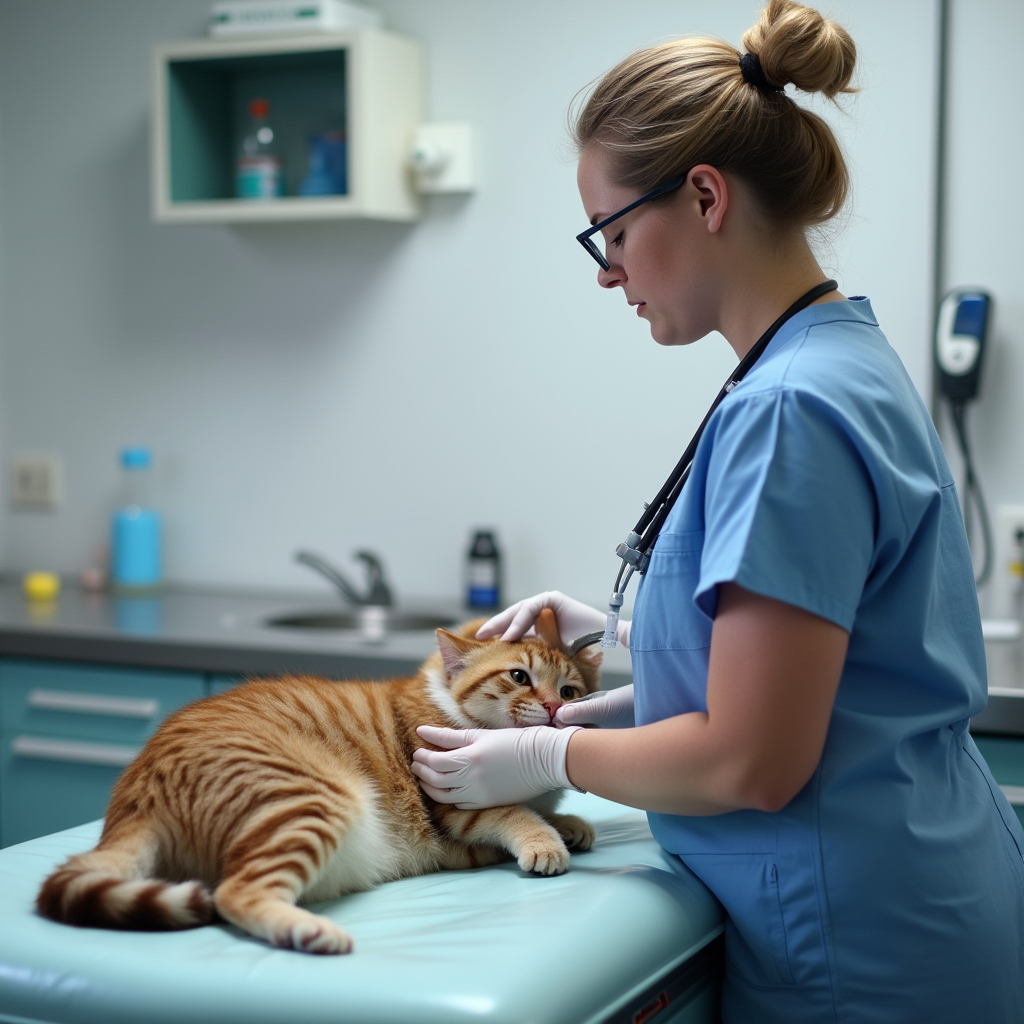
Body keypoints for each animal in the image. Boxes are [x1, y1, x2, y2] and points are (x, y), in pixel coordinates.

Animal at [37, 606, 598, 950]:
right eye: (519, 676)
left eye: (570, 691)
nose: (554, 709)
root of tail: (136, 794)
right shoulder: (456, 809)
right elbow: (515, 813)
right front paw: (546, 840)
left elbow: (546, 809)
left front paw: (571, 822)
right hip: (312, 801)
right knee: (234, 894)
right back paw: (311, 933)